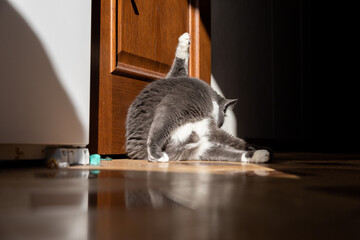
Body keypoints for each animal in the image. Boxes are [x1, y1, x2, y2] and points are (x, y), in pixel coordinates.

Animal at [126, 32, 270, 163]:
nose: (219, 124)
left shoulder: (205, 126)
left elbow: (179, 65)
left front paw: (185, 40)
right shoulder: (180, 101)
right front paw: (185, 39)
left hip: (201, 147)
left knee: (228, 148)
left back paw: (261, 154)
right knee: (160, 129)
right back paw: (156, 155)